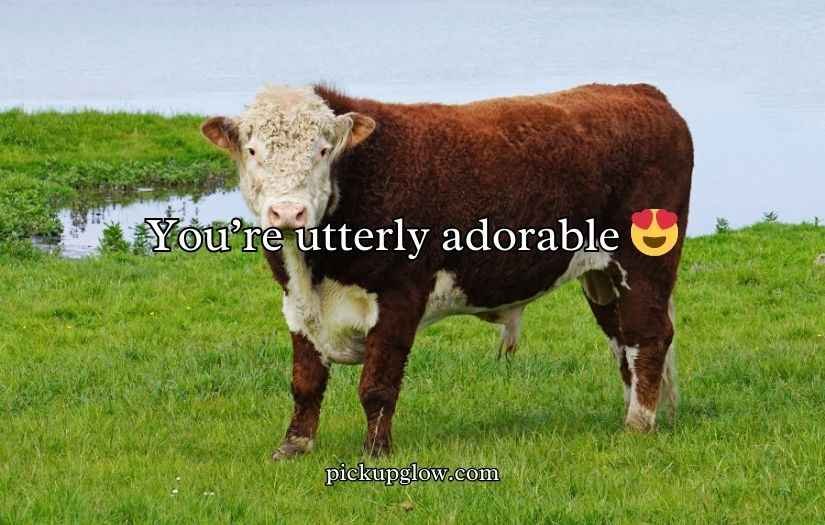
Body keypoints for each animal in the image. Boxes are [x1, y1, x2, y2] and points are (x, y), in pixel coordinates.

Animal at [201, 83, 693, 459]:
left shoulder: (400, 296)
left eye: (323, 151)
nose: (288, 212)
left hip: (643, 264)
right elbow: (305, 381)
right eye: (252, 150)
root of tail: (642, 93)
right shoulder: (297, 305)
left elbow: (377, 385)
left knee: (649, 337)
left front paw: (375, 452)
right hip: (602, 278)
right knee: (622, 340)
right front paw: (294, 446)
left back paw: (638, 424)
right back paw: (632, 412)